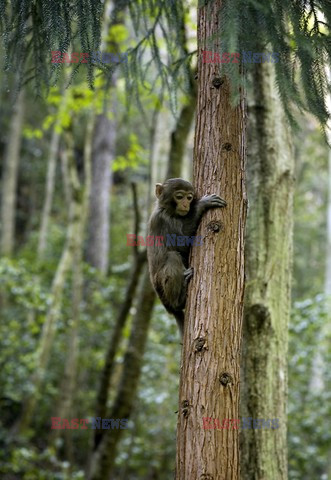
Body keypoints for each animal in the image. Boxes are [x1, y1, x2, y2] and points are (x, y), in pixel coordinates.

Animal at [147, 177, 227, 338]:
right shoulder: (164, 220)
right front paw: (202, 204)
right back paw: (179, 300)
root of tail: (169, 308)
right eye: (179, 196)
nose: (186, 204)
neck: (168, 211)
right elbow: (182, 243)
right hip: (162, 290)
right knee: (172, 256)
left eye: (189, 197)